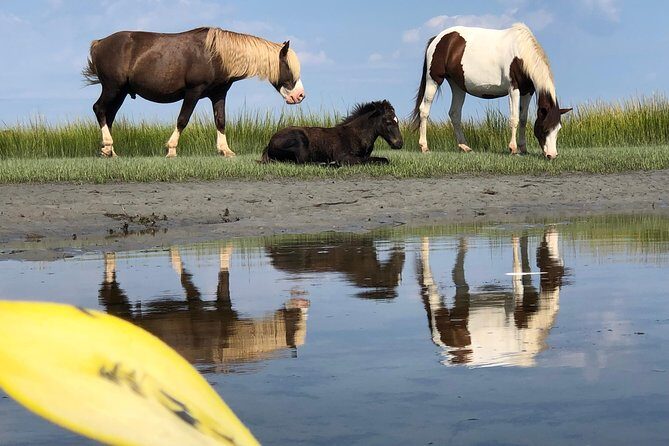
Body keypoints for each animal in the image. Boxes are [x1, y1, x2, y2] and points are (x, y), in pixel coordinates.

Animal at [83, 27, 305, 158]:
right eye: (288, 66)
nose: (300, 96)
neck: (216, 55)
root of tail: (99, 43)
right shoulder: (193, 92)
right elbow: (183, 119)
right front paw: (171, 149)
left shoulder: (219, 94)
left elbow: (220, 120)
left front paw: (225, 150)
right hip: (112, 88)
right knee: (99, 109)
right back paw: (108, 145)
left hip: (120, 92)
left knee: (109, 115)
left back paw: (109, 150)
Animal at [261, 100, 403, 165]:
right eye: (388, 122)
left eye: (397, 120)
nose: (399, 144)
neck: (357, 135)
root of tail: (269, 144)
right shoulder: (344, 156)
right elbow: (376, 160)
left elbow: (381, 159)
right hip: (300, 141)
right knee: (303, 162)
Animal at [411, 23, 571, 159]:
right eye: (545, 129)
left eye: (558, 129)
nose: (552, 155)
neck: (520, 53)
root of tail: (438, 38)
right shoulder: (514, 89)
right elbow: (514, 119)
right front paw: (513, 149)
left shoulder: (527, 91)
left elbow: (523, 119)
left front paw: (523, 148)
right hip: (433, 80)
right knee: (424, 110)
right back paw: (424, 147)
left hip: (457, 85)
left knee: (455, 114)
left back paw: (464, 147)